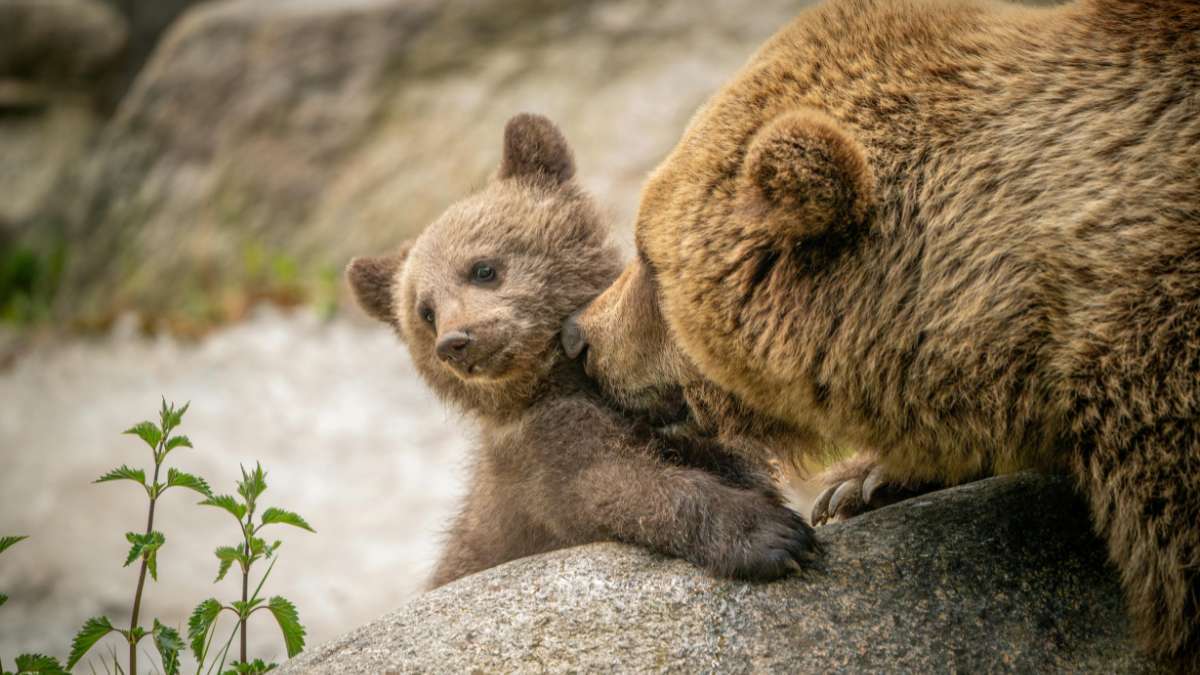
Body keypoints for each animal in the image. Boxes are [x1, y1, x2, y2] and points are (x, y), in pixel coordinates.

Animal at [346, 113, 815, 589]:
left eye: (483, 268)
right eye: (425, 311)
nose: (455, 342)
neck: (561, 380)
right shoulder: (543, 455)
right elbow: (616, 487)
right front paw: (773, 535)